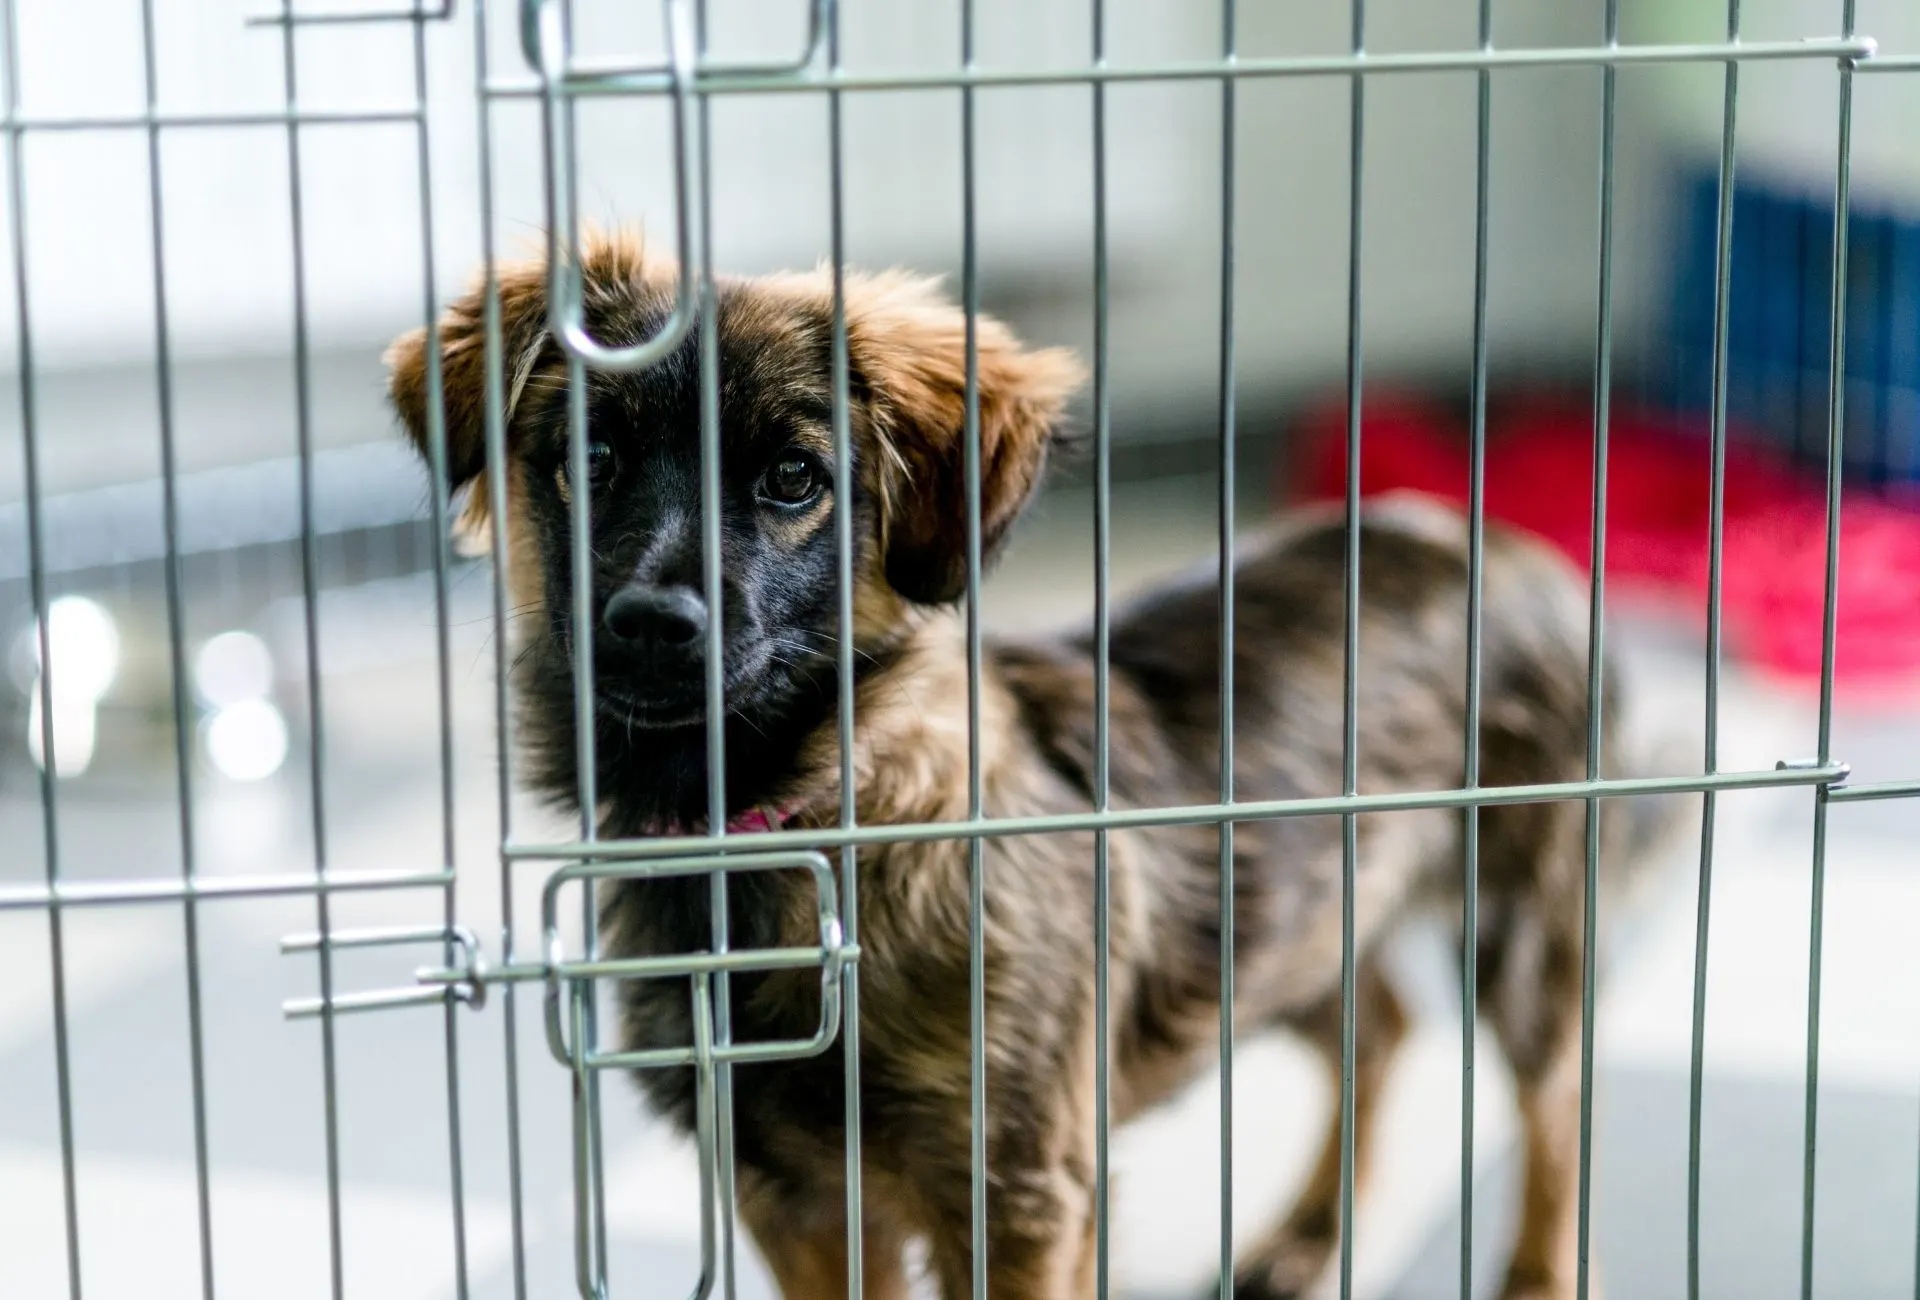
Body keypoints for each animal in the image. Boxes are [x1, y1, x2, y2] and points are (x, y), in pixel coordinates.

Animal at [385, 233, 1681, 1298]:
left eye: (795, 478)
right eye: (590, 456)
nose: (652, 626)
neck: (794, 826)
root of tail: (1499, 543)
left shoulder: (1014, 1191)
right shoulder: (792, 1196)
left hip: (1520, 927)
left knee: (1555, 1100)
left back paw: (1536, 1273)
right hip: (1288, 919)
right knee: (1382, 1025)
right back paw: (1305, 1238)